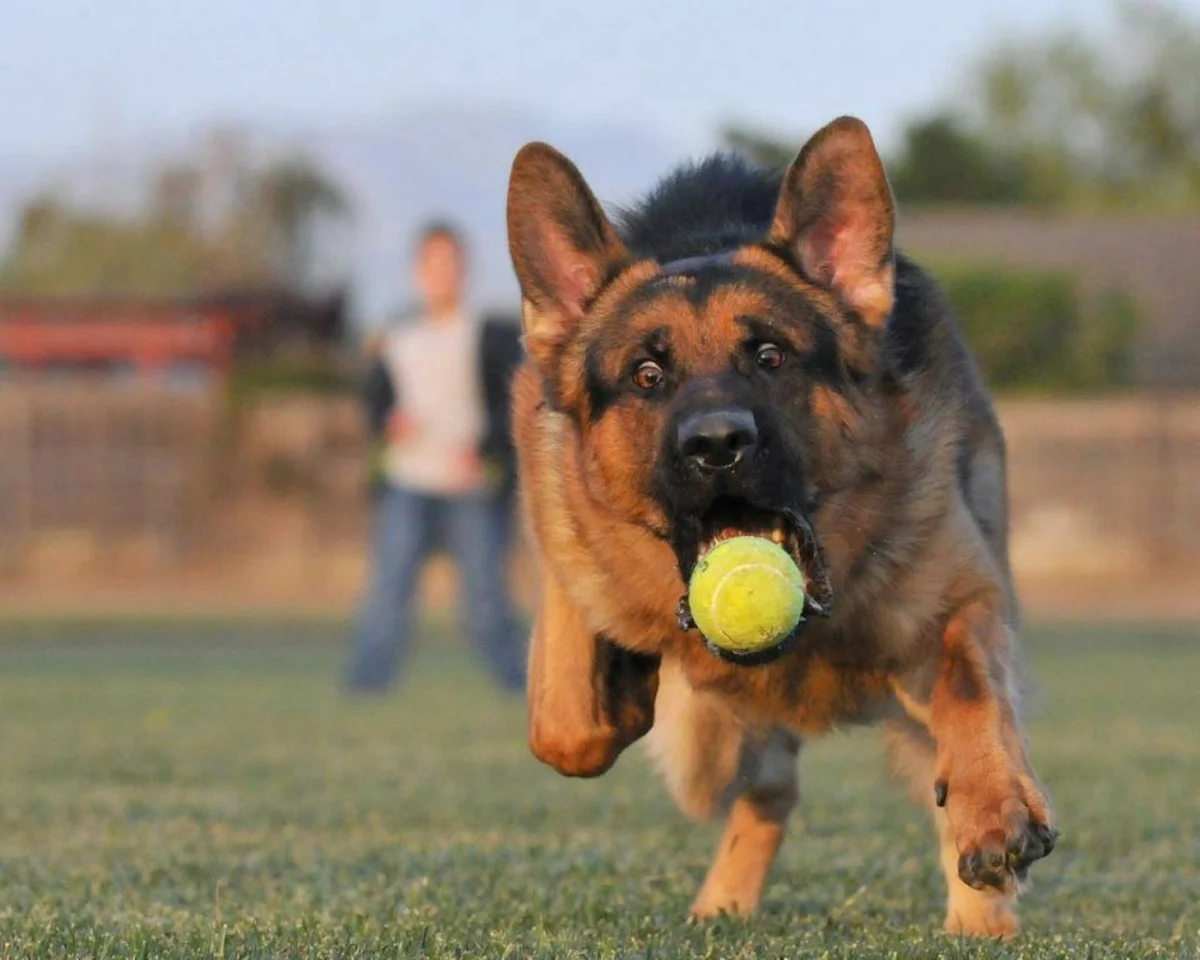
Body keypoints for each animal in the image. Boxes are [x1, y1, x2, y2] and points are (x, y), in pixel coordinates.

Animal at [506, 114, 1060, 936]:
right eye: (647, 375)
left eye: (770, 356)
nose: (716, 444)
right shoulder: (566, 543)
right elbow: (567, 723)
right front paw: (617, 684)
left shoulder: (961, 599)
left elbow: (971, 691)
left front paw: (995, 812)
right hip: (716, 749)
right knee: (764, 788)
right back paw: (724, 901)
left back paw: (979, 918)